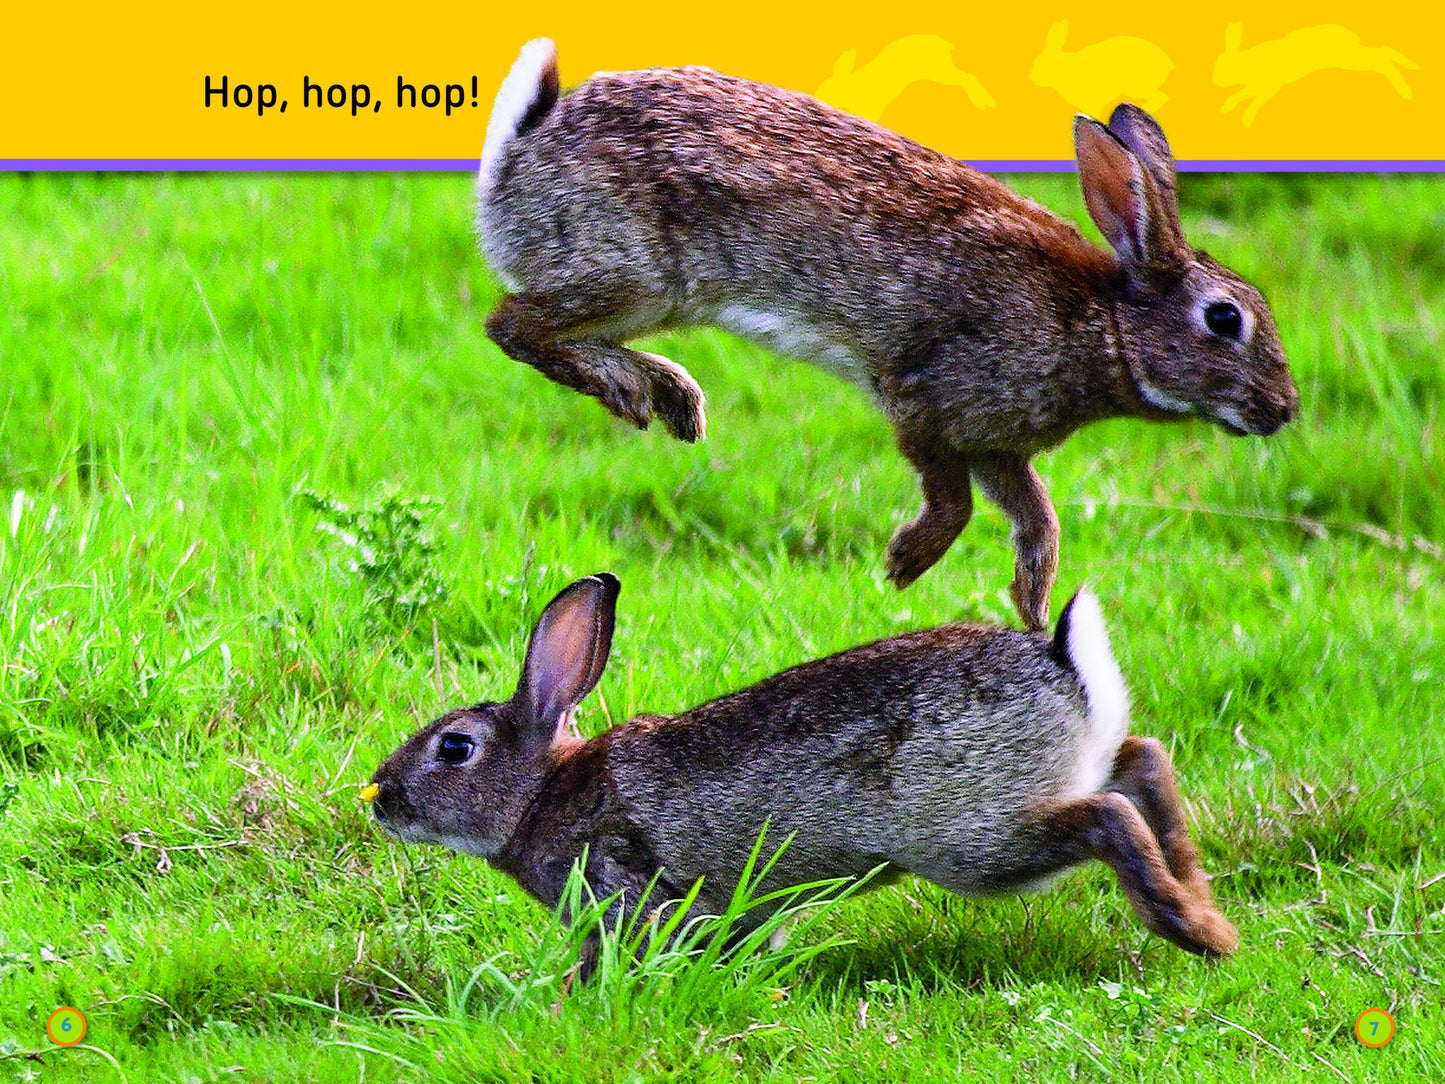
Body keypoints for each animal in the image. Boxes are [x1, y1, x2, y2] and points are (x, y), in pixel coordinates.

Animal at [365, 572, 1239, 971]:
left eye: (454, 748)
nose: (381, 798)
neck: (538, 793)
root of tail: (1063, 663)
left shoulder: (623, 888)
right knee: (1142, 760)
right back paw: (1204, 902)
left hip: (971, 837)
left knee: (1105, 817)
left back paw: (1193, 932)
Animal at [474, 41, 1297, 631]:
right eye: (1225, 319)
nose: (1283, 410)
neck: (1109, 325)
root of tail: (518, 159)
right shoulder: (927, 398)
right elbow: (954, 502)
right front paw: (904, 564)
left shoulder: (996, 444)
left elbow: (1036, 513)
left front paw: (1031, 603)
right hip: (635, 273)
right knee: (511, 325)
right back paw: (636, 387)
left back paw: (668, 395)